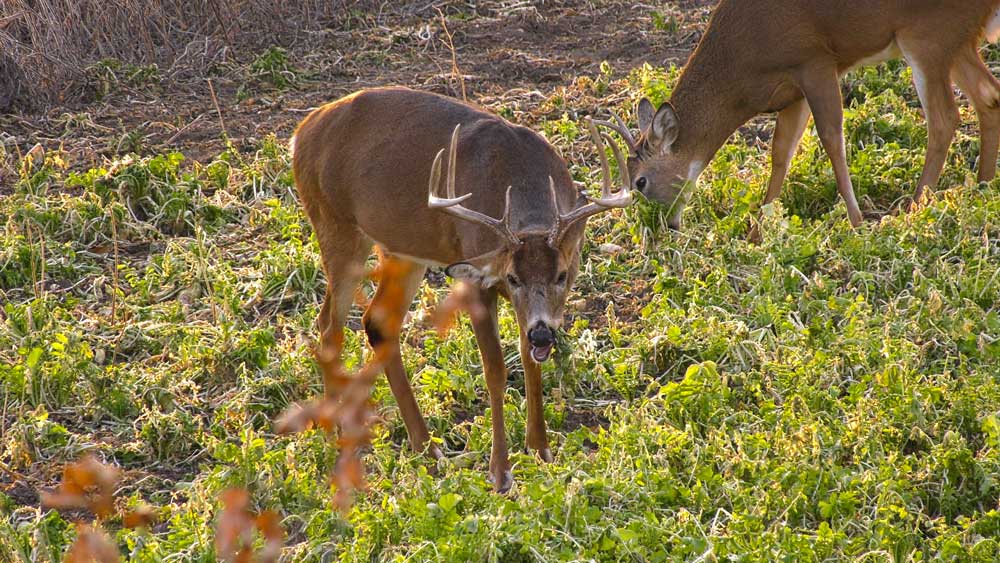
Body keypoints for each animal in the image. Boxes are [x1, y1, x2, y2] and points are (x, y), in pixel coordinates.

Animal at [292, 86, 632, 492]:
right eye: (512, 278)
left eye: (562, 275)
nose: (543, 333)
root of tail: (301, 132)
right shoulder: (476, 280)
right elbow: (495, 369)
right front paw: (500, 471)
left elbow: (528, 360)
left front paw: (540, 450)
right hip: (336, 226)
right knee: (330, 323)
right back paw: (335, 434)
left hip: (402, 248)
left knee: (376, 322)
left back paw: (428, 450)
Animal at [596, 0, 1000, 230]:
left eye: (641, 181)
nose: (661, 228)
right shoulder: (791, 91)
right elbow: (781, 153)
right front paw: (757, 229)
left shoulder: (815, 61)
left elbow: (831, 138)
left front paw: (856, 223)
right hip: (955, 39)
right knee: (988, 95)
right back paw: (982, 187)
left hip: (926, 36)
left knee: (945, 117)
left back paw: (915, 207)